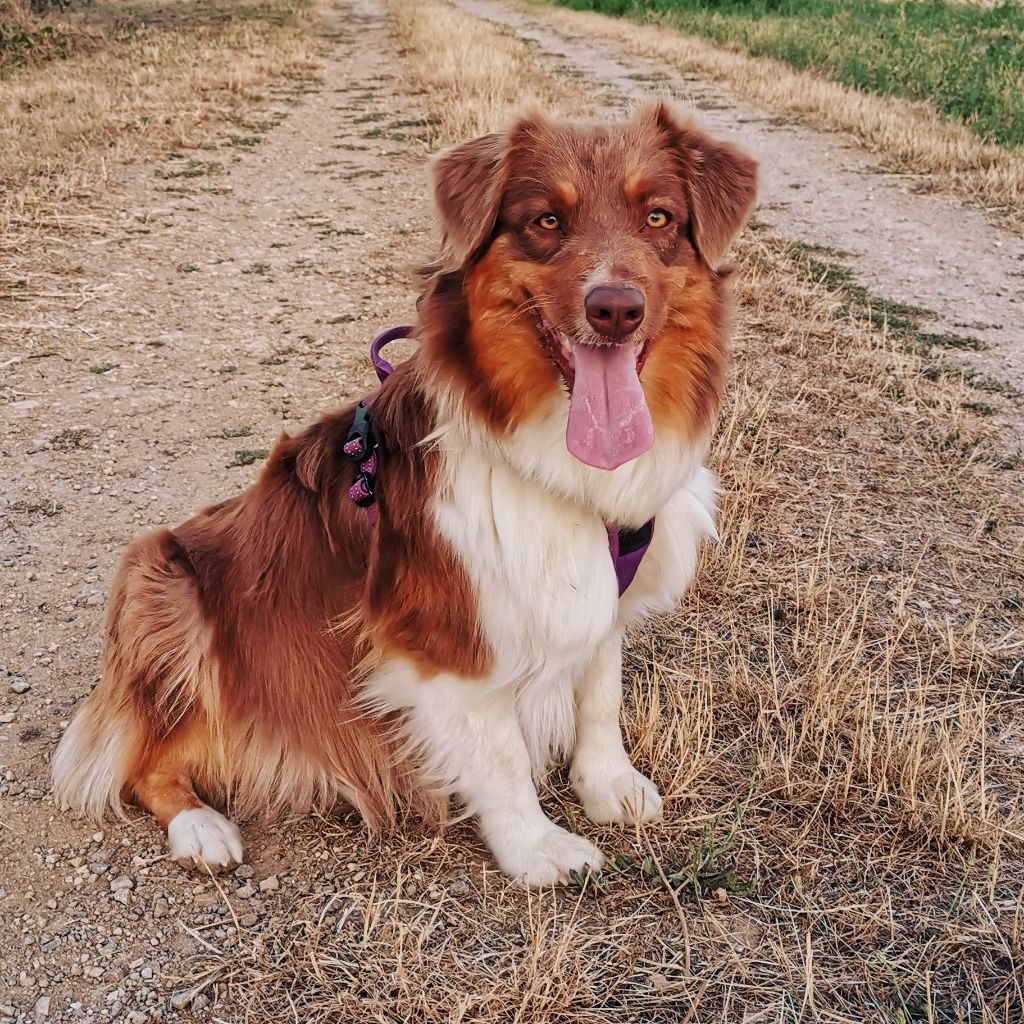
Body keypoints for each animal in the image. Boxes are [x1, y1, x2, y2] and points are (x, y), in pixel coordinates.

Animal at [51, 101, 757, 888]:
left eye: (659, 217)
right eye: (546, 221)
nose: (615, 309)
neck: (549, 452)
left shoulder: (598, 589)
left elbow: (600, 689)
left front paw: (608, 784)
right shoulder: (443, 630)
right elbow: (500, 750)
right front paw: (536, 849)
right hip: (158, 580)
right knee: (143, 761)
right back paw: (201, 828)